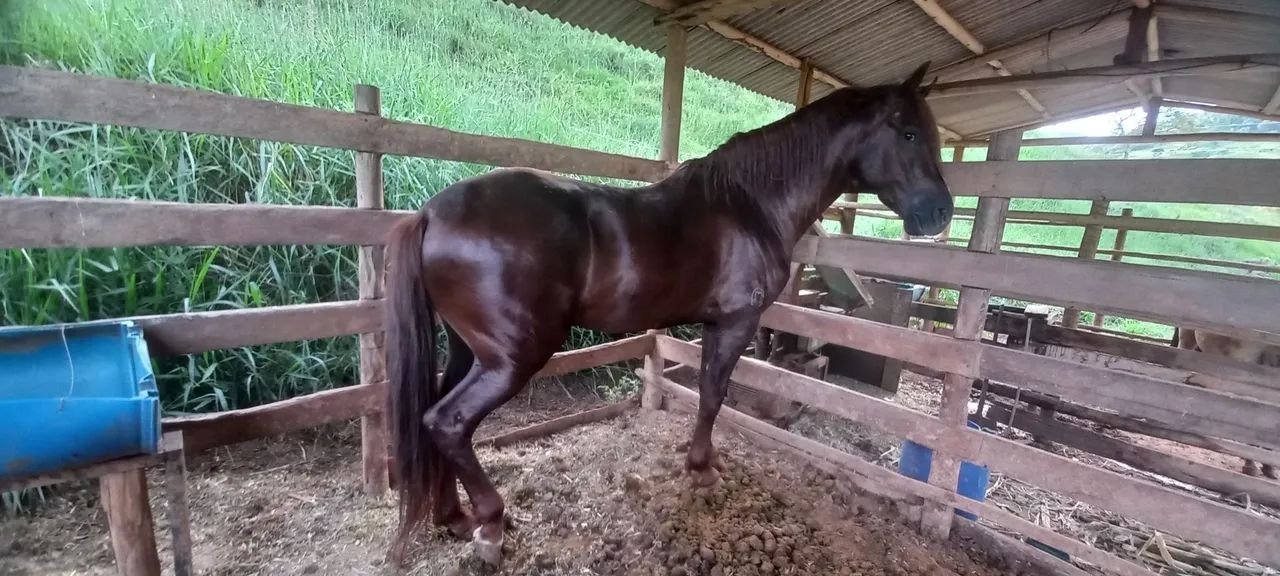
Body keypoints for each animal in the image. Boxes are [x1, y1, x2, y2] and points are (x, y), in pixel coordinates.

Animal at [382, 62, 953, 566]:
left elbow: (705, 392)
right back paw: (491, 524)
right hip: (511, 359)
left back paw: (454, 517)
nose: (941, 212)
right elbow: (713, 394)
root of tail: (431, 212)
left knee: (432, 418)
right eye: (907, 133)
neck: (749, 205)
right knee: (448, 422)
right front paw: (702, 470)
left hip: (468, 350)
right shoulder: (735, 323)